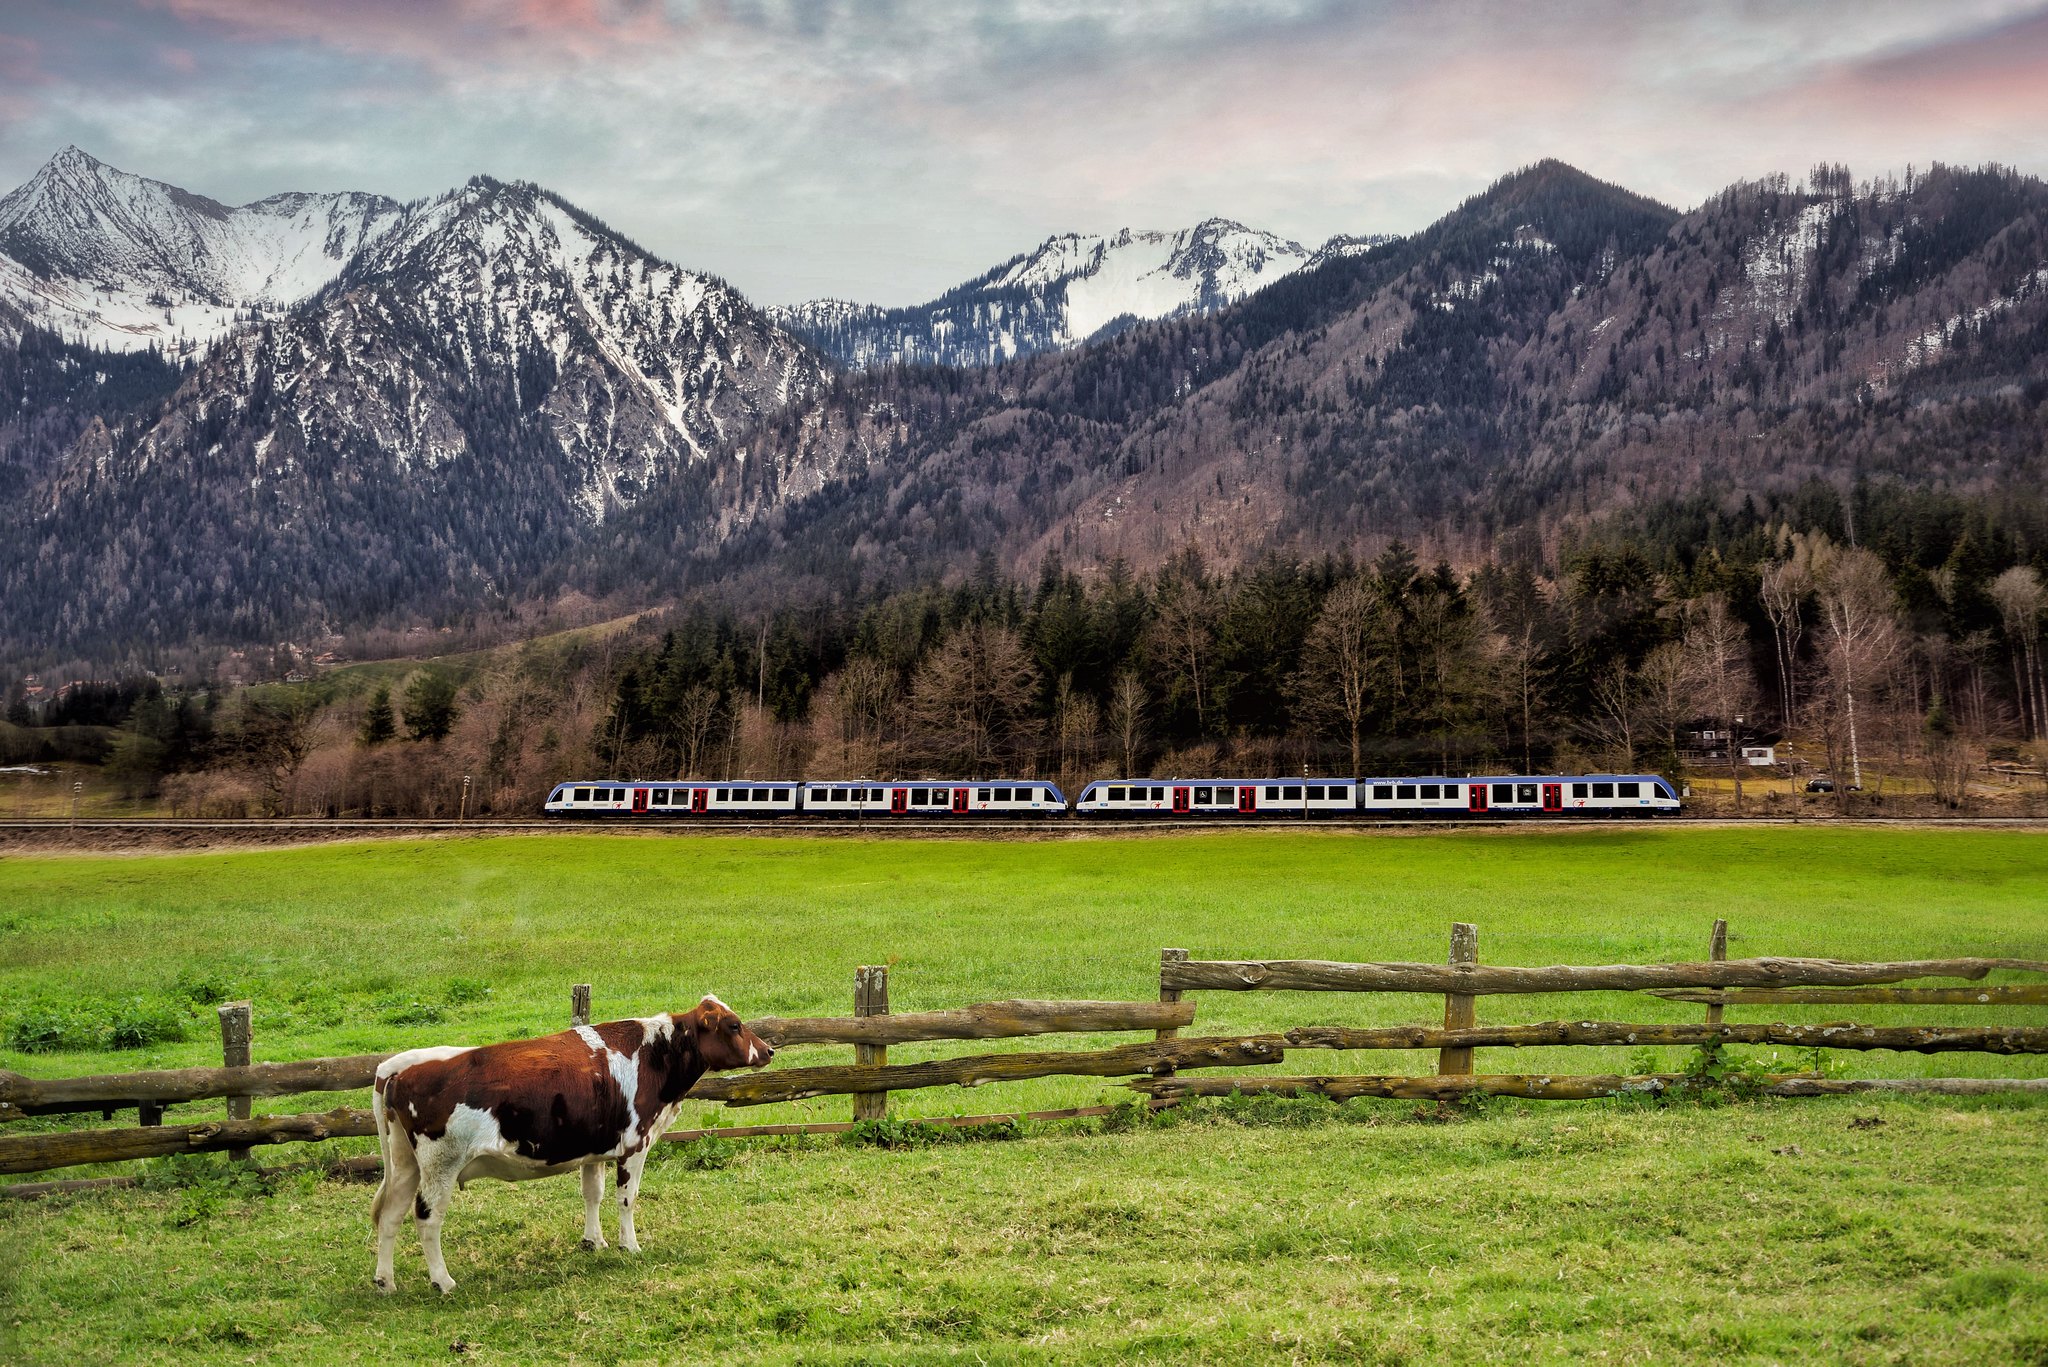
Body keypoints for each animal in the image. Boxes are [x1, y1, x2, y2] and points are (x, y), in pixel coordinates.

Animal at [364, 996, 770, 1295]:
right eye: (734, 1025)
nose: (769, 1051)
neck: (654, 1053)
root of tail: (396, 1066)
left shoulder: (596, 1147)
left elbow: (593, 1193)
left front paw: (594, 1241)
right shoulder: (635, 1143)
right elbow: (627, 1198)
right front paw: (629, 1245)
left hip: (405, 1164)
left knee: (391, 1215)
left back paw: (386, 1282)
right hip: (440, 1165)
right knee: (427, 1218)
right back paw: (443, 1281)